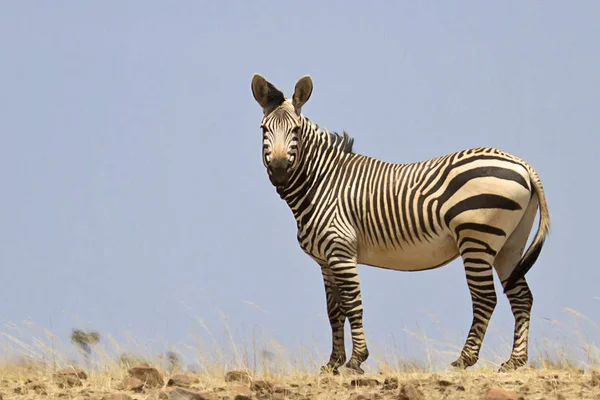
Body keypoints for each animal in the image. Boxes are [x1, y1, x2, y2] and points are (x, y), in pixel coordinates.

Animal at [251, 72, 552, 376]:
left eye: (295, 131)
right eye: (264, 130)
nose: (278, 170)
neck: (321, 183)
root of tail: (523, 164)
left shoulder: (341, 251)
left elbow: (352, 305)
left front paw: (355, 361)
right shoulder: (325, 260)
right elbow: (334, 310)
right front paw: (332, 363)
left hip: (477, 239)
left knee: (486, 299)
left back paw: (463, 360)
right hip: (510, 244)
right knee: (521, 296)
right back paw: (515, 361)